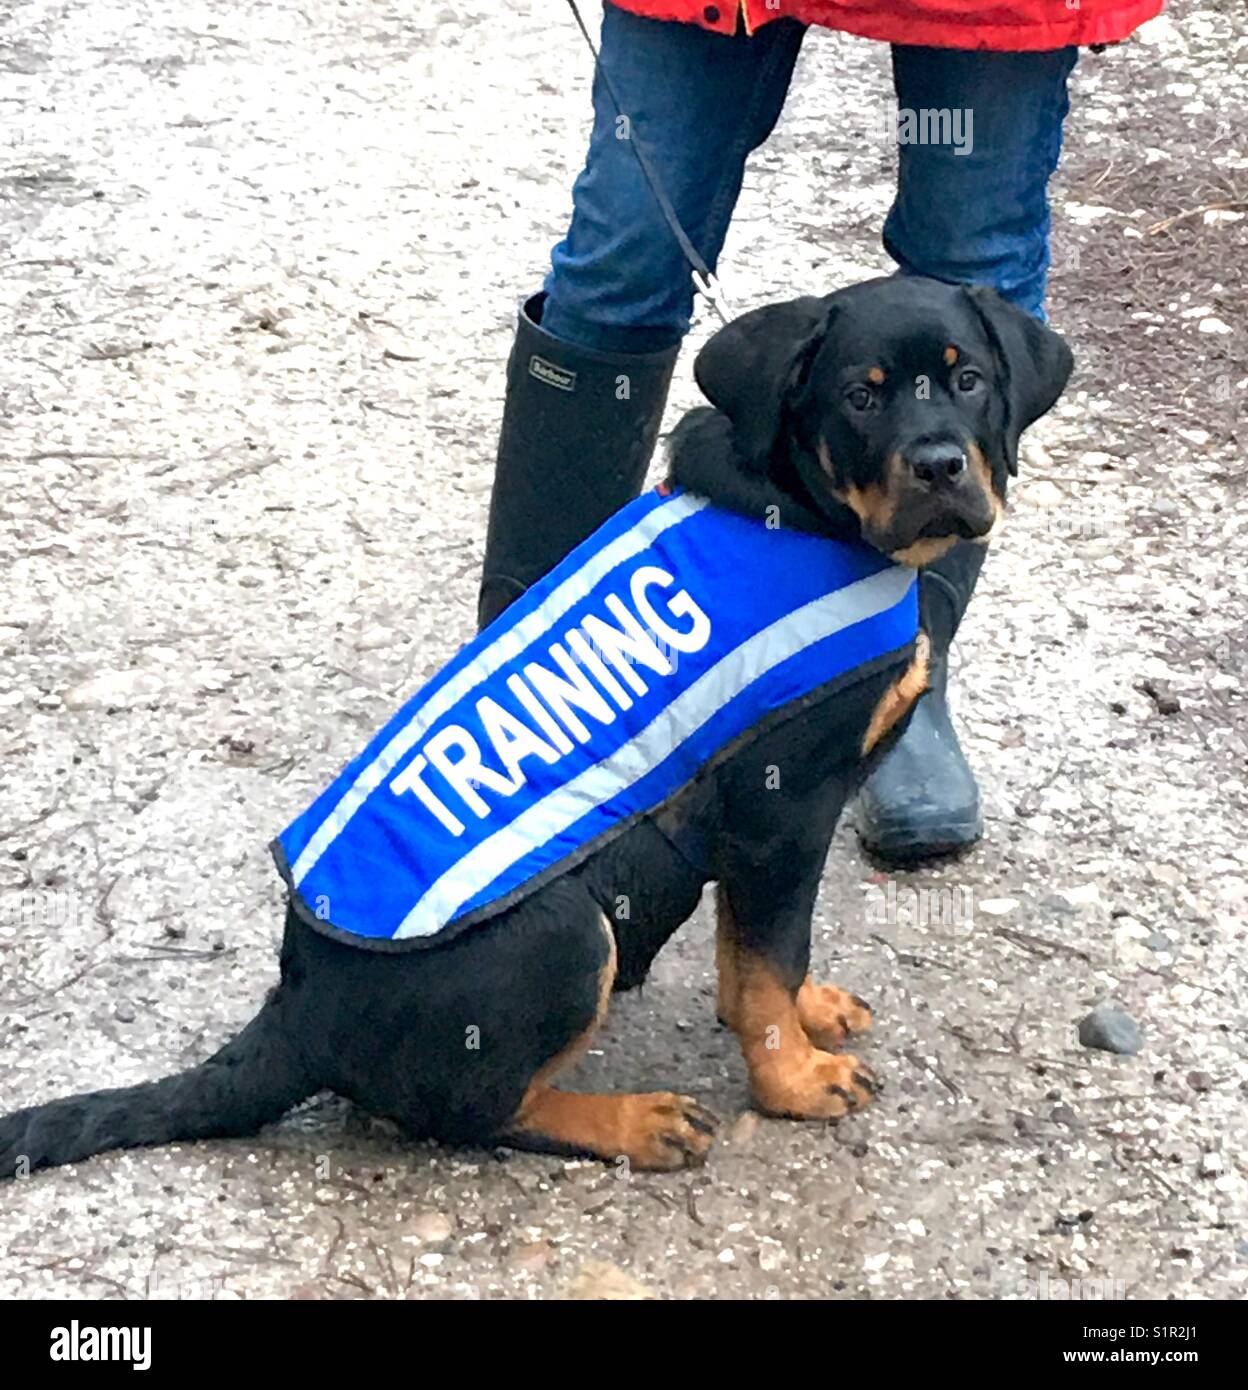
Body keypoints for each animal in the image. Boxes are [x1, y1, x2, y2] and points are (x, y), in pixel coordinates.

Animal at [2, 276, 1067, 1178]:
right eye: (858, 397)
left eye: (968, 380)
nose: (940, 465)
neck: (810, 516)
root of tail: (294, 1010)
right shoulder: (782, 809)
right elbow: (771, 957)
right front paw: (795, 1082)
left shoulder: (768, 831)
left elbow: (759, 954)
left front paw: (810, 1022)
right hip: (567, 935)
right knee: (469, 1110)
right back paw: (633, 1121)